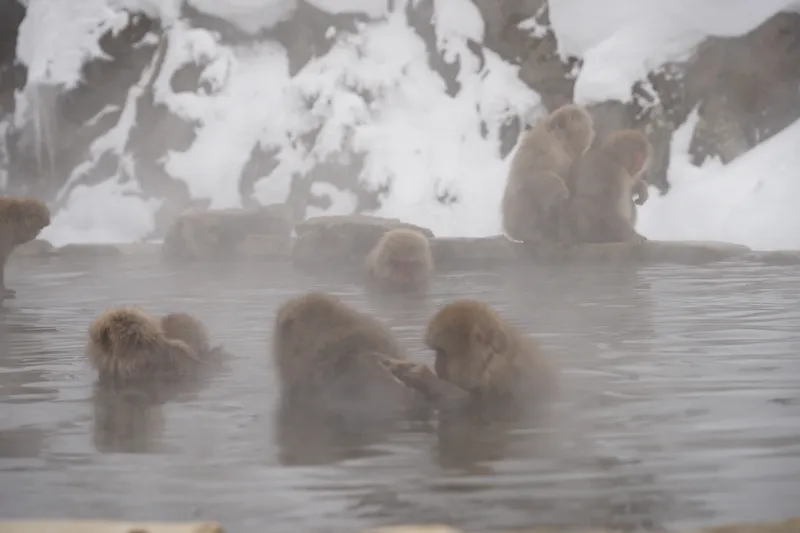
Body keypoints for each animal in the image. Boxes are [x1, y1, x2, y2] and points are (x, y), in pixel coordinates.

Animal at [501, 104, 595, 247]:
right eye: (575, 118)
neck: (561, 141)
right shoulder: (543, 142)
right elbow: (532, 171)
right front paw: (562, 191)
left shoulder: (573, 161)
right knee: (526, 194)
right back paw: (530, 232)